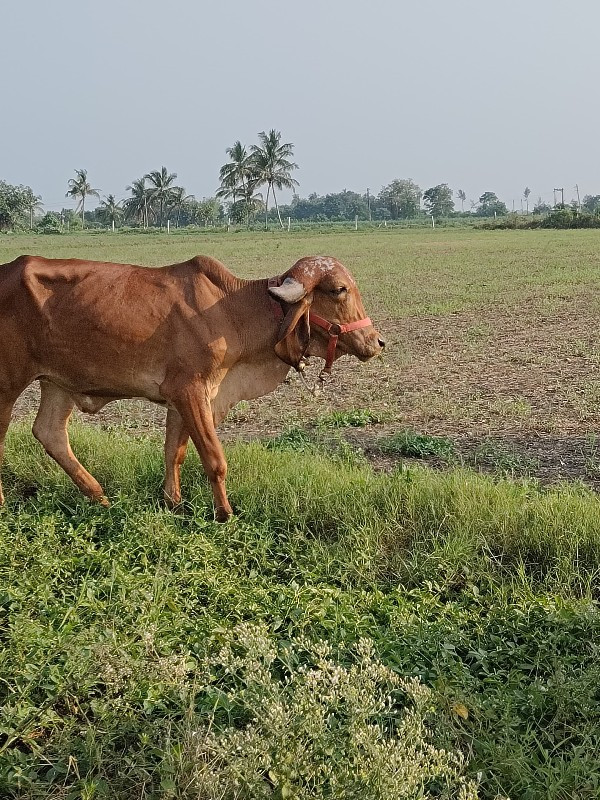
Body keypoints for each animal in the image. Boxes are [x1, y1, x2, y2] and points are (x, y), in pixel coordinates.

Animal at [0, 253, 384, 520]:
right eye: (338, 290)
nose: (377, 342)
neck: (233, 311)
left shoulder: (181, 399)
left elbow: (175, 453)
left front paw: (174, 503)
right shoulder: (190, 391)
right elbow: (214, 459)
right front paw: (224, 514)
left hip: (57, 384)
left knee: (50, 433)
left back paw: (101, 498)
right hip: (9, 384)